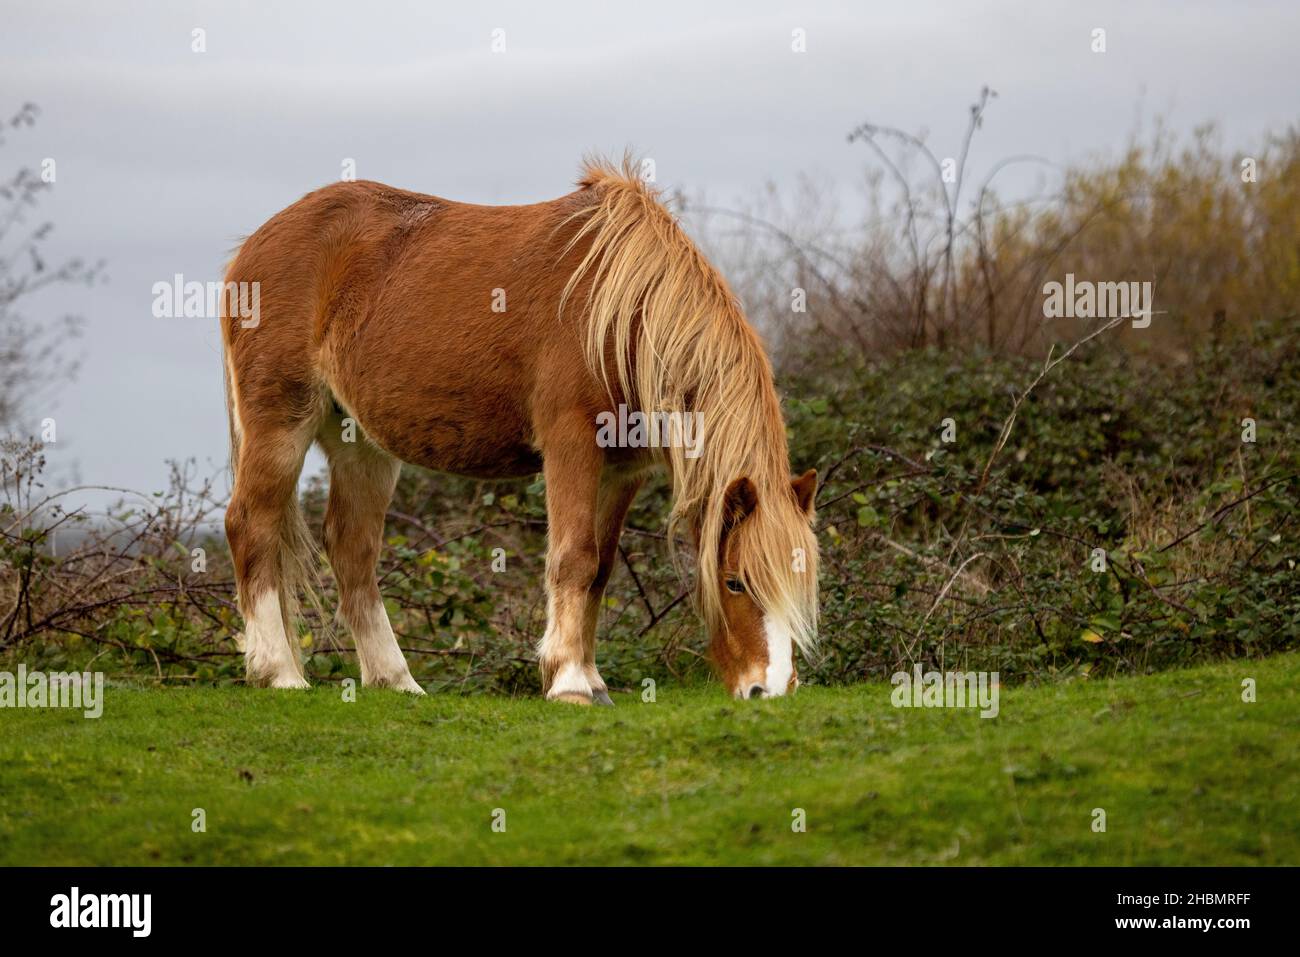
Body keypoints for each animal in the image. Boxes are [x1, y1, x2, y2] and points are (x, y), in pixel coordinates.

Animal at [219, 157, 819, 702]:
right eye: (735, 580)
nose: (771, 688)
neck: (619, 316)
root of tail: (253, 247)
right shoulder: (572, 444)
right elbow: (574, 558)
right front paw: (569, 681)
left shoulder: (622, 470)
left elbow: (601, 568)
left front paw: (590, 678)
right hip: (281, 422)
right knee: (252, 524)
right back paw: (279, 672)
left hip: (360, 445)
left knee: (352, 548)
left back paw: (396, 679)